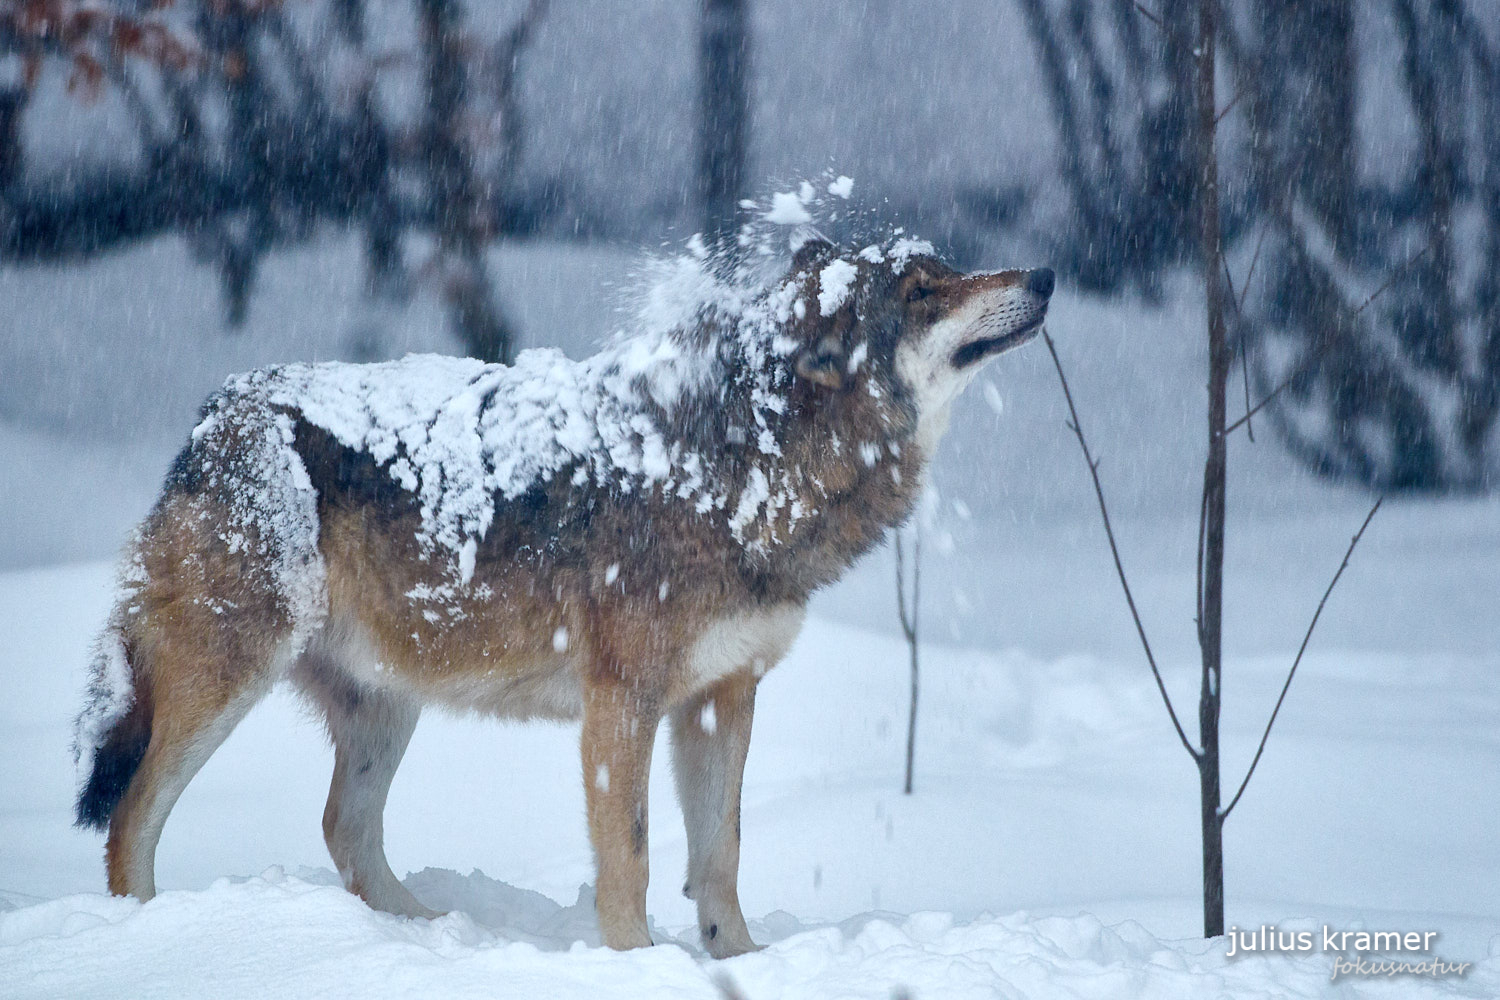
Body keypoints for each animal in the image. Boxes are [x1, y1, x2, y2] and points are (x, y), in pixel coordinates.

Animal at [73, 232, 1056, 953]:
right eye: (922, 291)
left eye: (946, 267)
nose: (1045, 274)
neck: (743, 471)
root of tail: (214, 416)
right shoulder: (622, 701)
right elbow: (632, 861)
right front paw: (637, 965)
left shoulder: (723, 698)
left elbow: (721, 857)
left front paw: (740, 963)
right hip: (226, 684)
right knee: (131, 819)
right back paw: (143, 938)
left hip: (385, 707)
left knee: (343, 830)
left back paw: (427, 937)